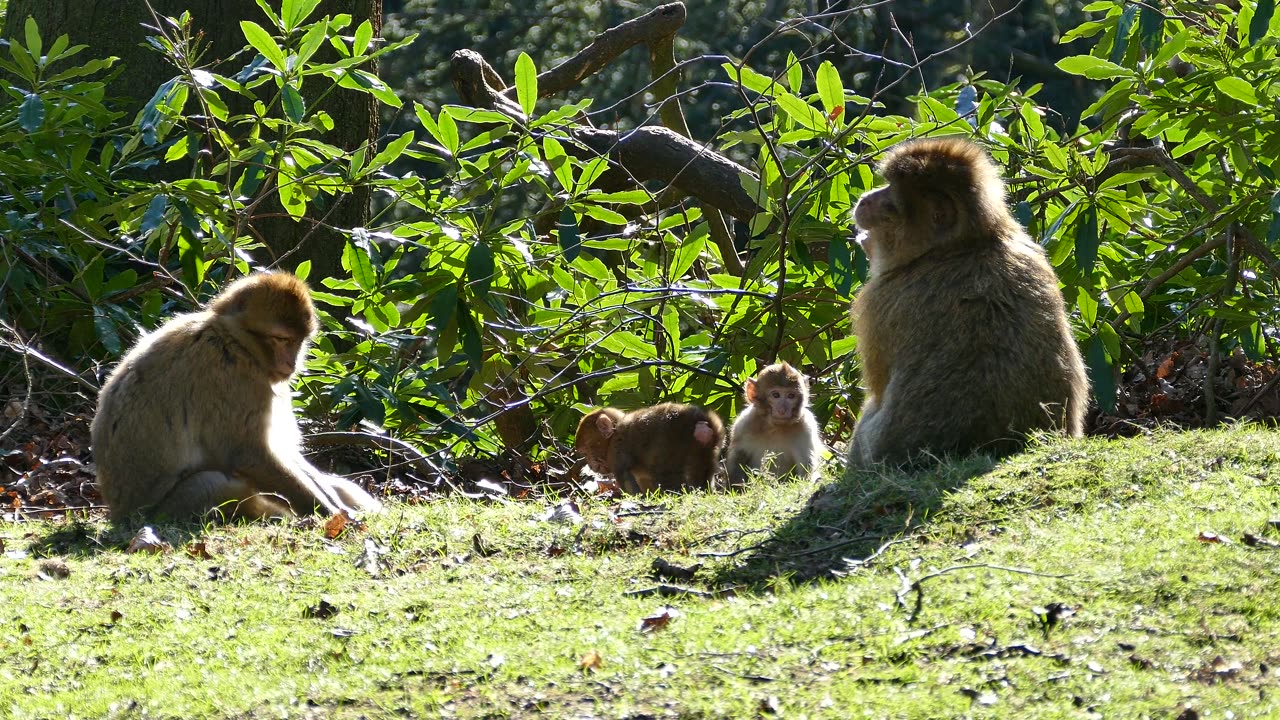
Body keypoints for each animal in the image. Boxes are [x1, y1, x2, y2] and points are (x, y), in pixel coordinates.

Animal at [92, 271, 378, 517]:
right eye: (281, 339)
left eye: (298, 341)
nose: (291, 363)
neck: (235, 340)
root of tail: (118, 513)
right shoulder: (233, 377)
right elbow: (246, 455)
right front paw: (334, 514)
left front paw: (337, 502)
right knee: (214, 482)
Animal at [576, 399, 727, 489]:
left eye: (586, 452)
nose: (590, 464)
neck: (615, 432)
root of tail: (702, 420)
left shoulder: (616, 452)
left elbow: (625, 476)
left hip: (673, 445)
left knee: (666, 473)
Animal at [849, 137, 1090, 468]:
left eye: (889, 203)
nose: (865, 199)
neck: (961, 247)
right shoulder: (1032, 255)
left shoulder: (879, 301)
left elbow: (877, 386)